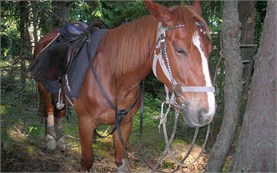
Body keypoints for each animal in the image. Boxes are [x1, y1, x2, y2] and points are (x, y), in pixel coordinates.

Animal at [32, 0, 215, 171]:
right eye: (179, 50)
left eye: (209, 49)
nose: (207, 113)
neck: (115, 78)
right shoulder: (85, 123)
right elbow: (87, 162)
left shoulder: (125, 123)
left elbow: (121, 161)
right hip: (43, 87)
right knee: (49, 109)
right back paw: (51, 140)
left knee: (60, 110)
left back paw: (61, 141)